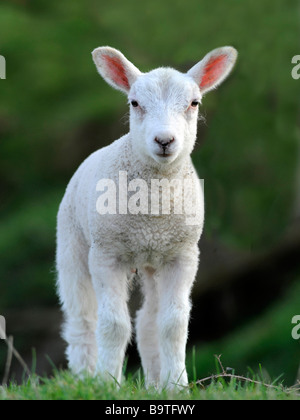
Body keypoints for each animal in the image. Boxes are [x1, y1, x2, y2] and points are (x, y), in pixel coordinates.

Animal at [55, 44, 237, 388]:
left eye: (194, 103)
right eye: (135, 103)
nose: (164, 141)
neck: (151, 210)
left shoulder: (182, 255)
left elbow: (173, 324)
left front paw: (178, 386)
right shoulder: (106, 253)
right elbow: (113, 325)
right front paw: (107, 385)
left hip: (154, 262)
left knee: (148, 322)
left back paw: (156, 383)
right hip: (72, 244)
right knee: (82, 320)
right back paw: (85, 377)